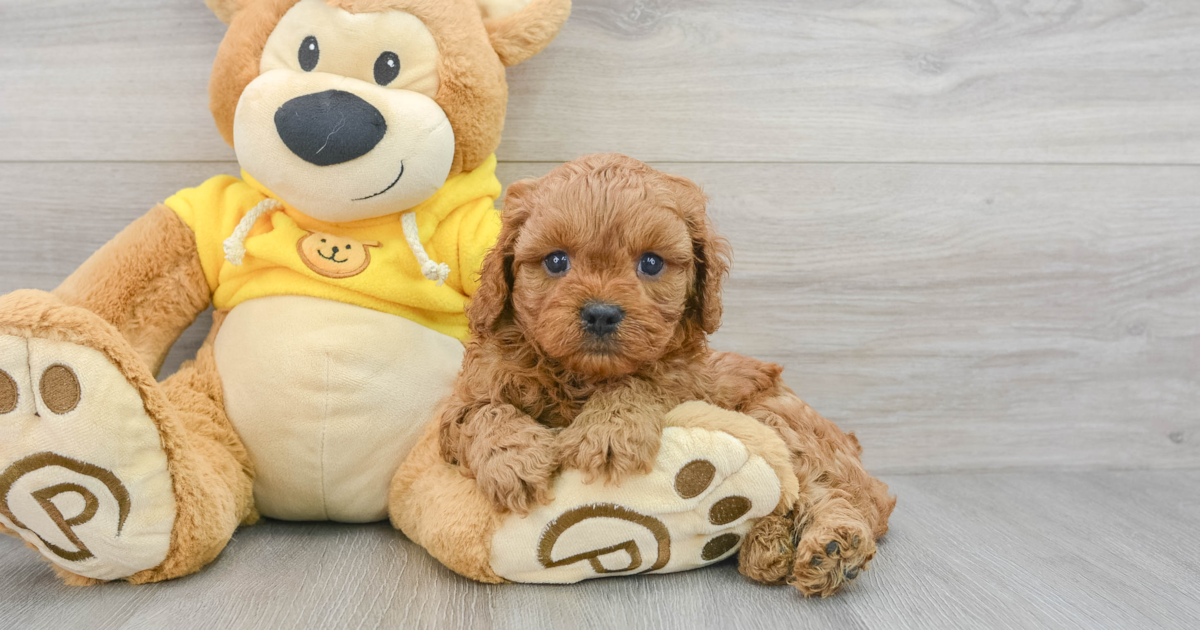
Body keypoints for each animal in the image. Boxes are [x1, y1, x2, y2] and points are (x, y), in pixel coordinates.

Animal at [436, 152, 897, 595]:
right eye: (556, 260)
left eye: (652, 263)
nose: (601, 313)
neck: (583, 376)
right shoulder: (464, 399)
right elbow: (483, 411)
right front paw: (513, 462)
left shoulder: (686, 380)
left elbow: (642, 380)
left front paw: (608, 431)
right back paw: (770, 549)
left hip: (783, 421)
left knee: (834, 494)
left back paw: (831, 550)